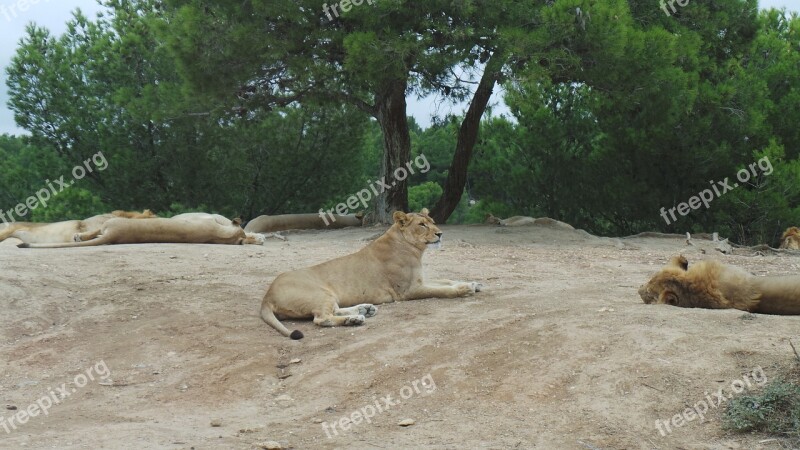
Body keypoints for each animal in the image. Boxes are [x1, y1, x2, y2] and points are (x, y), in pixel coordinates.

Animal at [260, 209, 482, 340]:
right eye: (422, 225)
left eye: (432, 221)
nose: (440, 234)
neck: (413, 249)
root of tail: (266, 296)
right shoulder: (409, 291)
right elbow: (443, 290)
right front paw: (465, 289)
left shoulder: (420, 279)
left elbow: (446, 280)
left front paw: (474, 283)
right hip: (319, 293)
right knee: (322, 318)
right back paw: (355, 319)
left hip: (327, 296)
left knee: (333, 310)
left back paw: (364, 310)